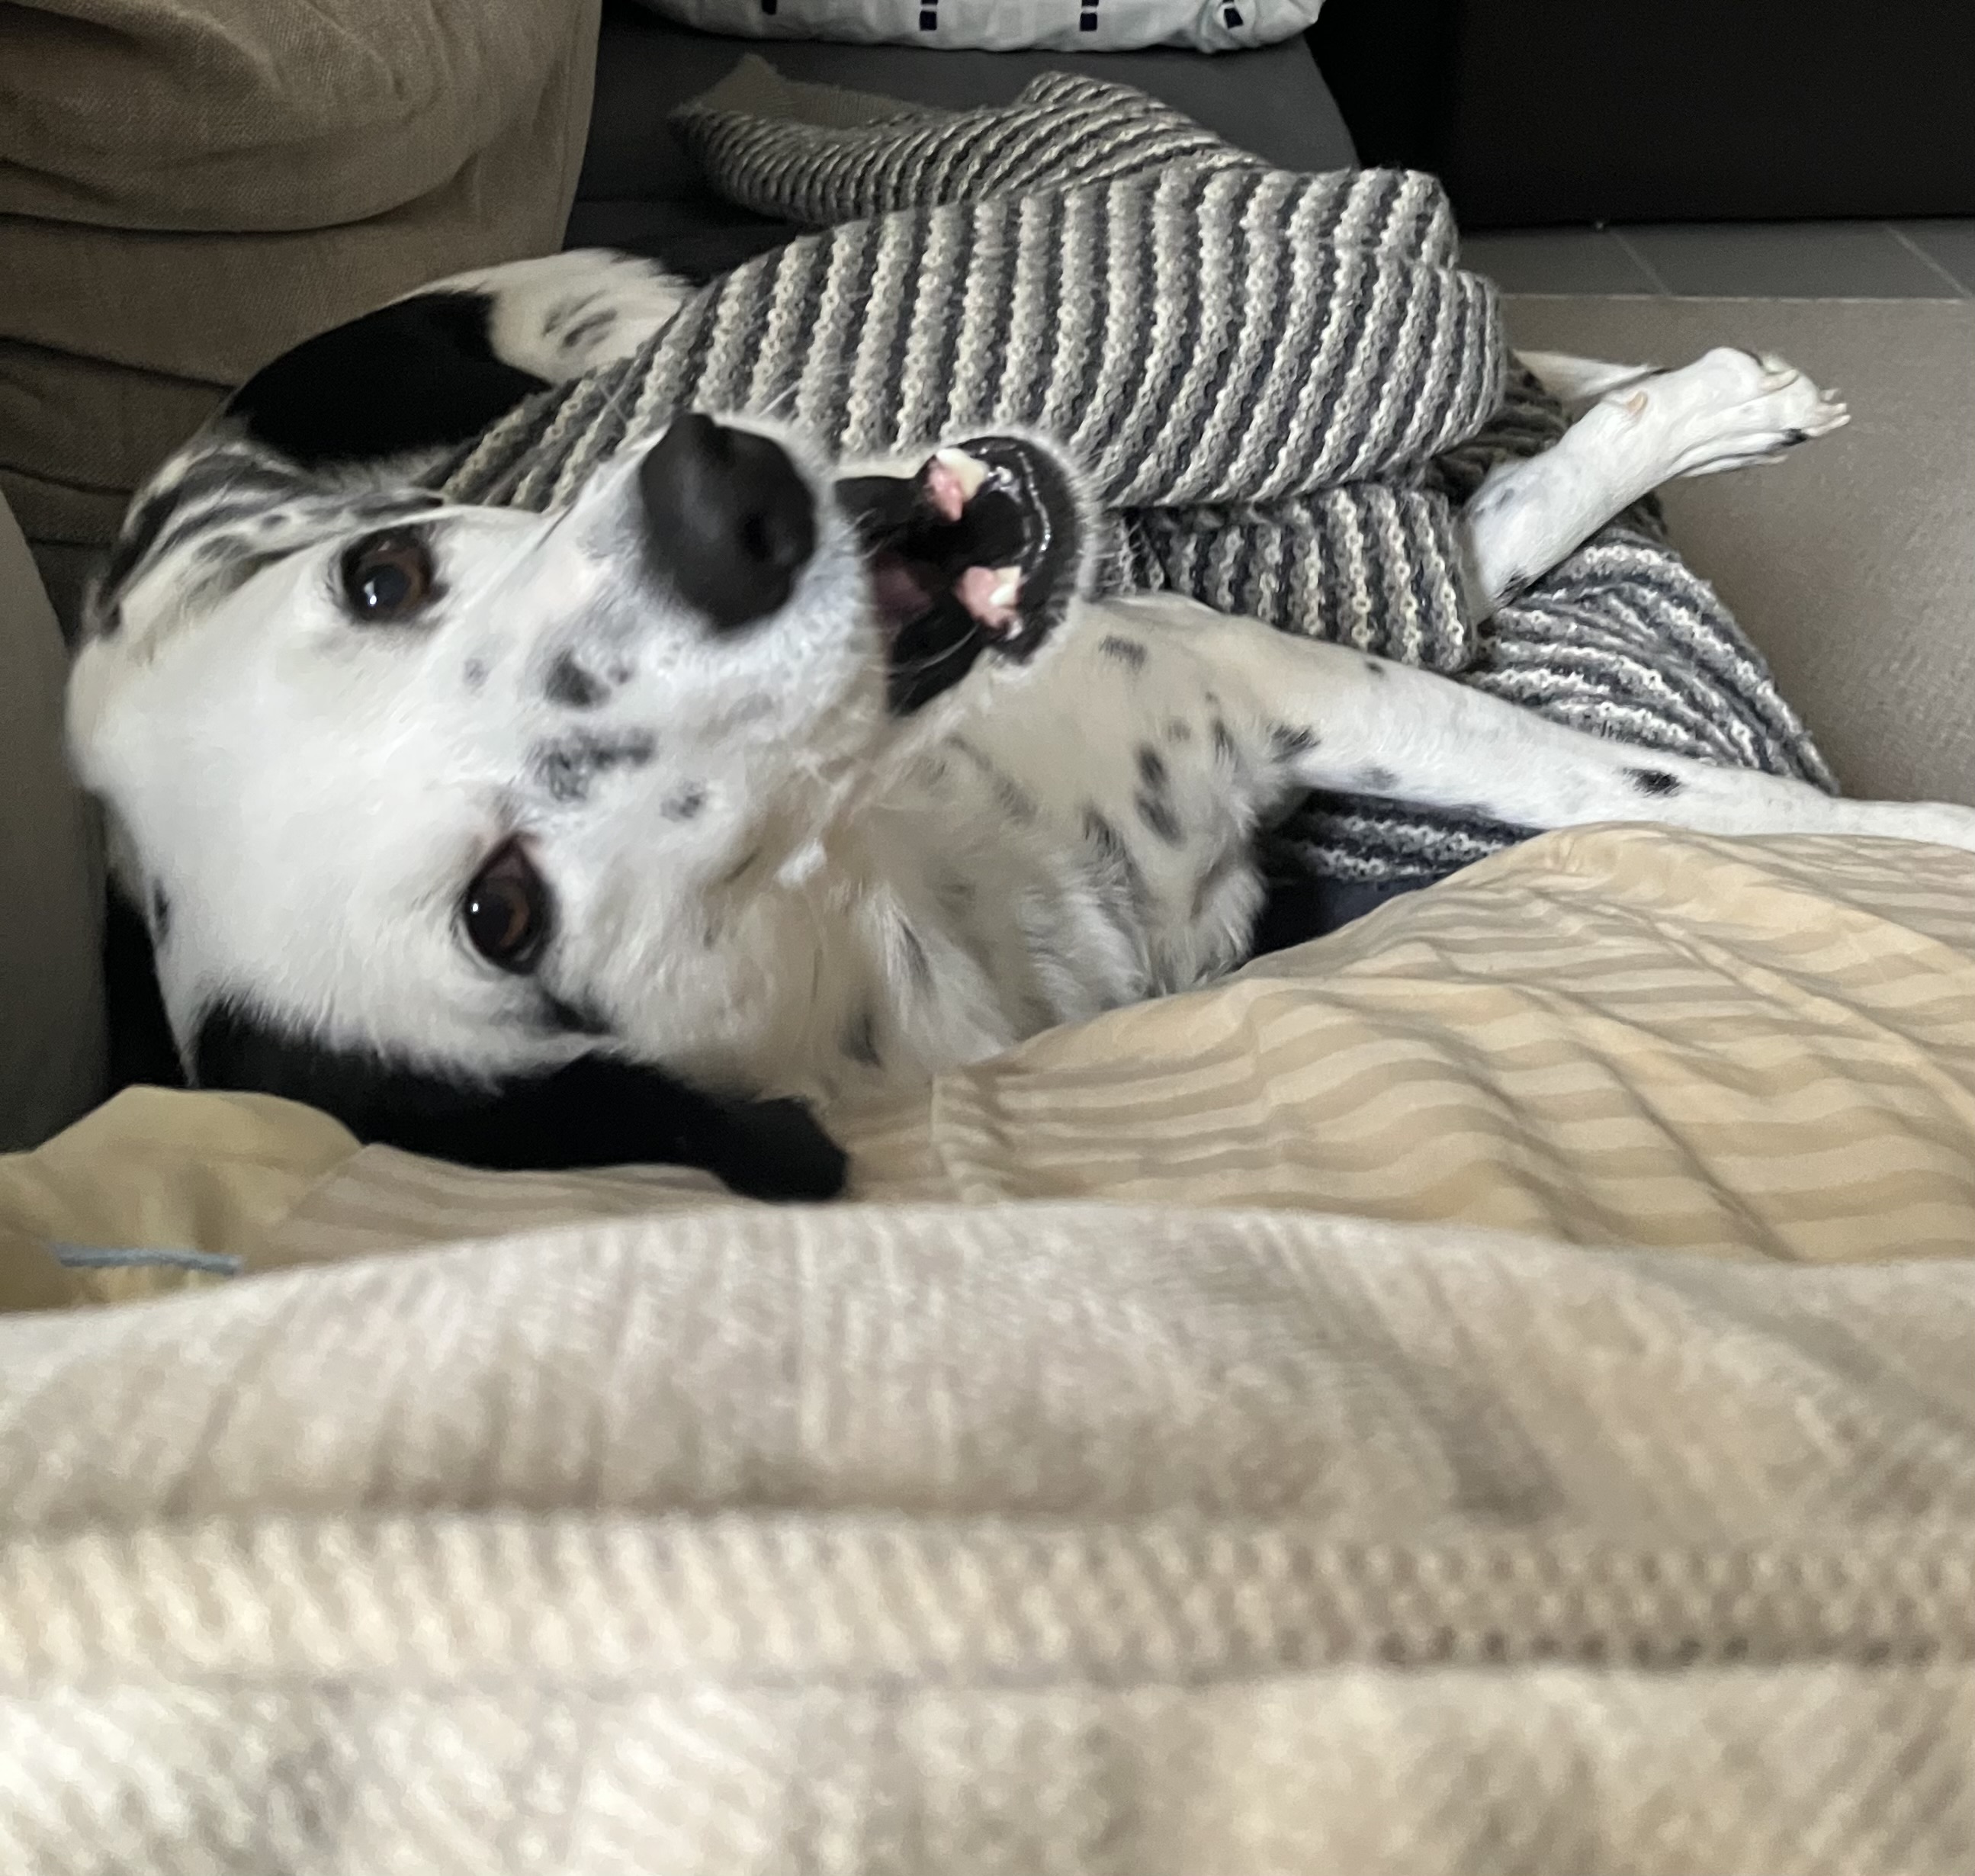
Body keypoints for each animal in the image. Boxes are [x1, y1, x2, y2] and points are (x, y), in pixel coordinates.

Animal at [66, 250, 1975, 1201]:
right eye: (498, 914)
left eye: (383, 581)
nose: (713, 508)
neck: (929, 864)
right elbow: (1679, 799)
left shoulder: (1261, 672)